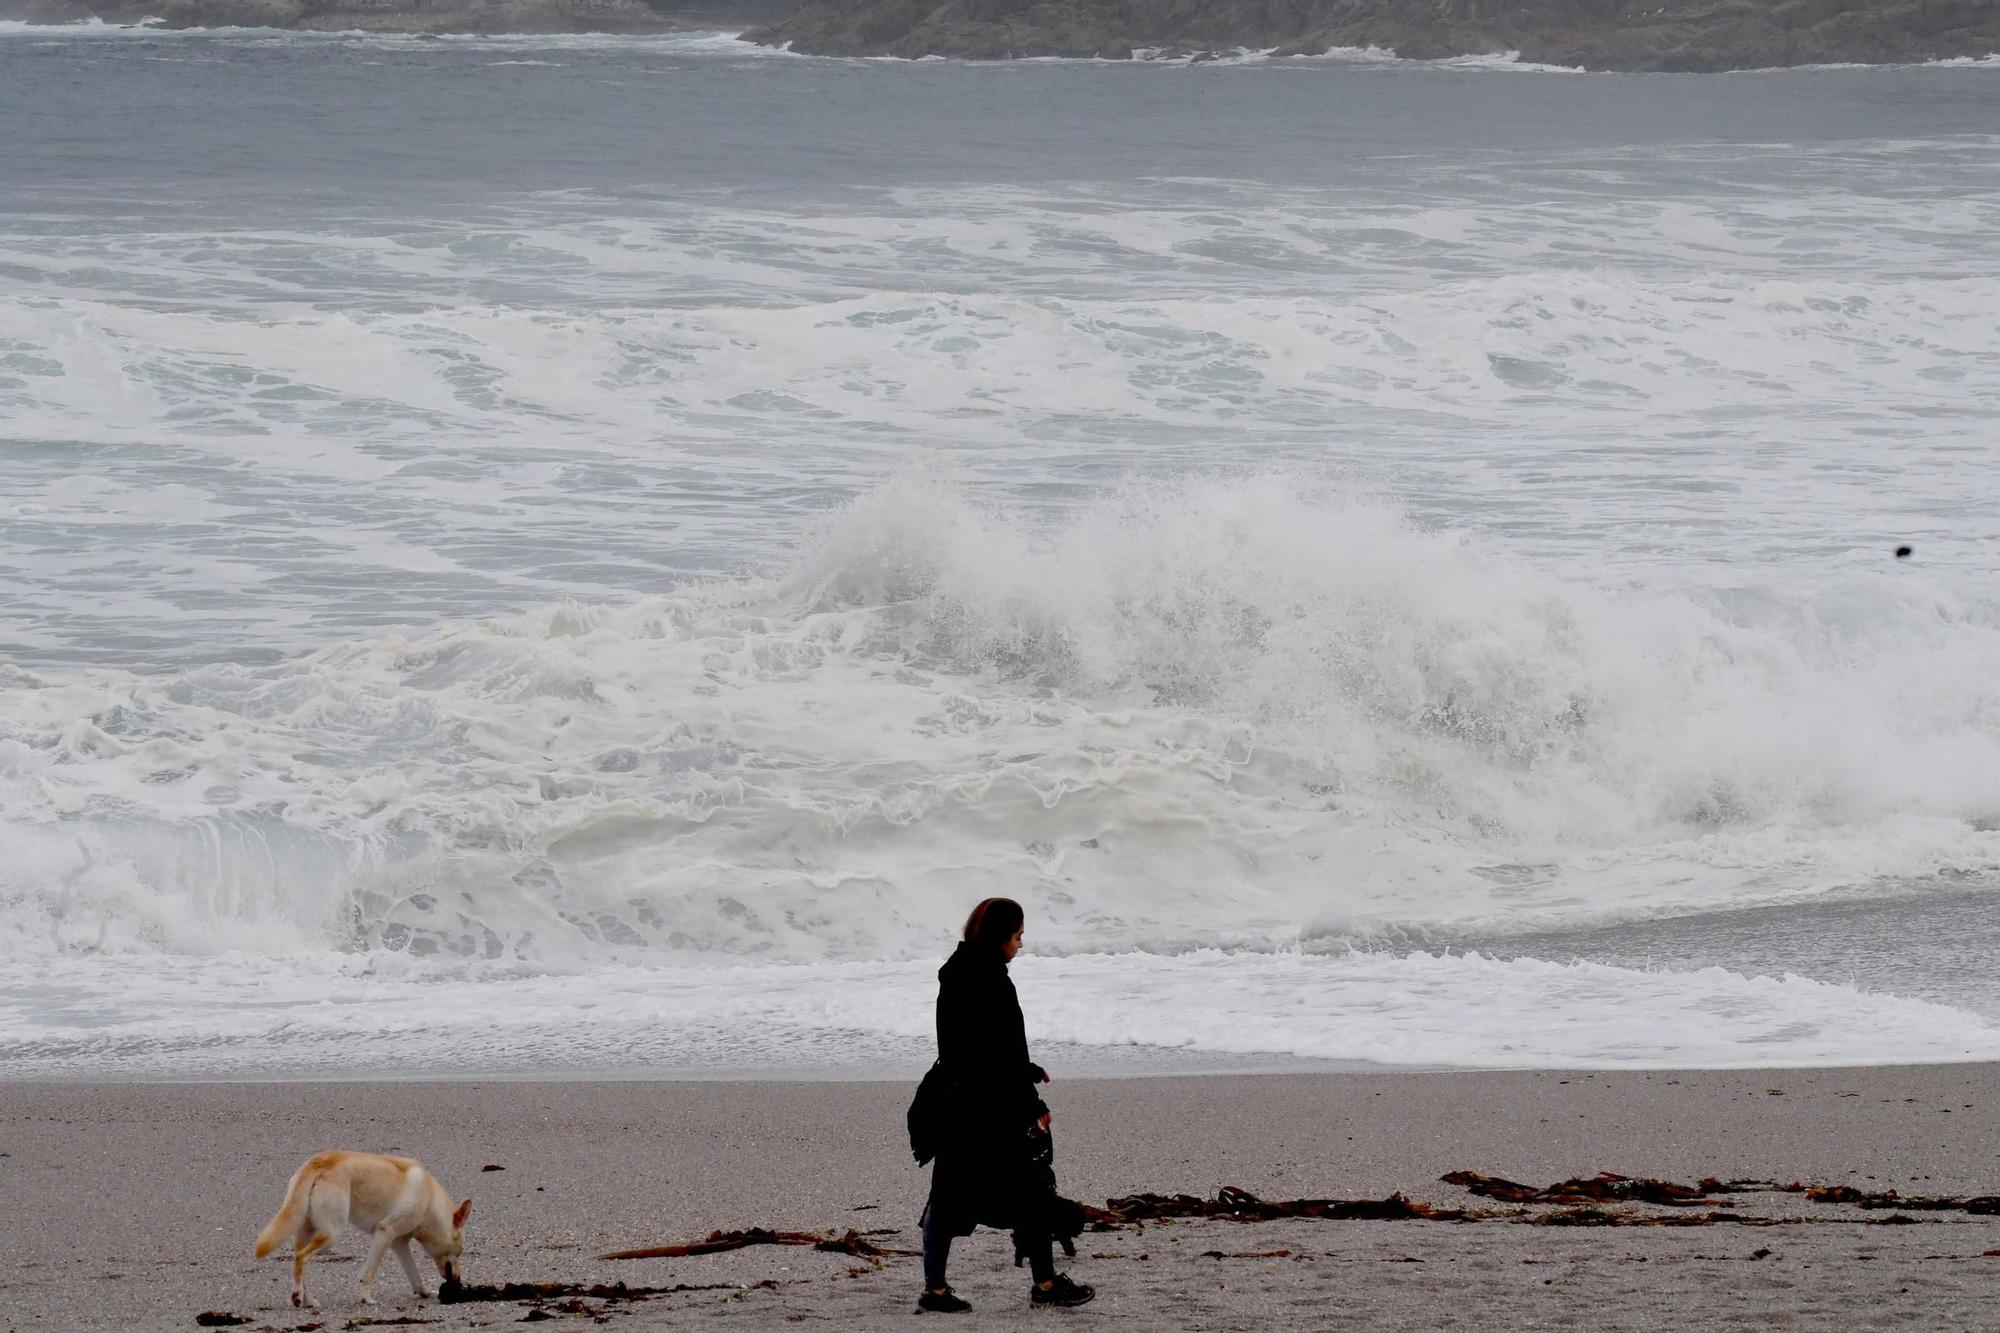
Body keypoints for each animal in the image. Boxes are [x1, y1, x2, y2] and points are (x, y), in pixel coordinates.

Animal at [254, 1144, 472, 1304]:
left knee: (298, 1262)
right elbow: (368, 1274)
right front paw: (367, 1299)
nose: (459, 1281)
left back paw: (306, 1300)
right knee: (301, 1258)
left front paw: (425, 1293)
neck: (429, 1201)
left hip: (306, 1232)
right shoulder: (384, 1233)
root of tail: (319, 1163)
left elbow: (414, 1275)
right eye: (459, 1251)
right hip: (332, 1235)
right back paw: (299, 1298)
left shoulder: (399, 1243)